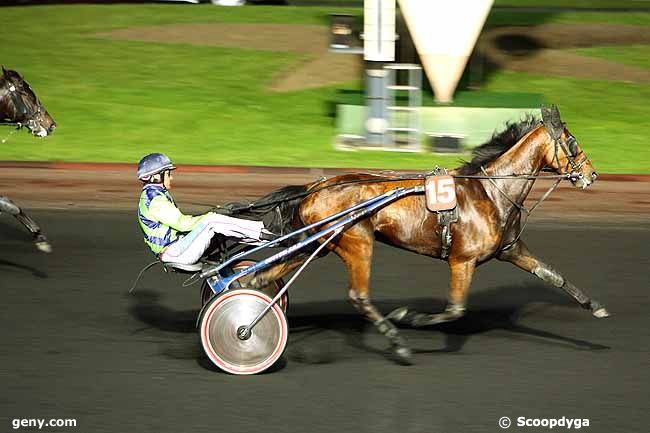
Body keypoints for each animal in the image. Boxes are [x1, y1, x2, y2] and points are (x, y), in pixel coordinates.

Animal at [232, 104, 608, 364]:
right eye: (572, 142)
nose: (592, 175)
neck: (491, 192)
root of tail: (315, 186)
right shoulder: (462, 261)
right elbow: (455, 310)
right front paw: (407, 317)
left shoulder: (511, 249)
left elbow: (554, 276)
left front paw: (596, 307)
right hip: (357, 242)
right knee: (358, 296)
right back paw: (397, 342)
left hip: (319, 244)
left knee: (263, 275)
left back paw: (247, 292)